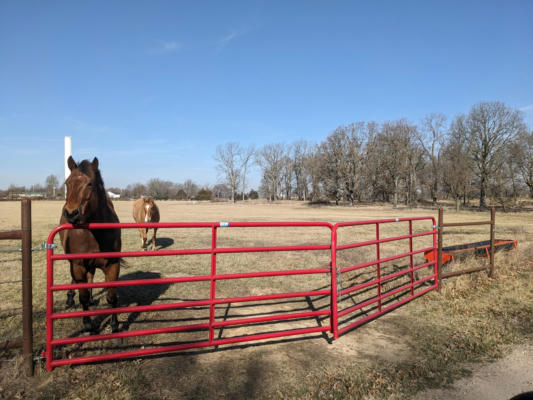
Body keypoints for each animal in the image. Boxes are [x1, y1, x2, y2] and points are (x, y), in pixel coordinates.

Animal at [59, 158, 121, 332]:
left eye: (90, 184)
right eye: (67, 183)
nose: (71, 213)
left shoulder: (113, 265)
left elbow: (112, 297)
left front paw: (115, 326)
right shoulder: (78, 265)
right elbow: (83, 296)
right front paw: (87, 323)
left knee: (91, 278)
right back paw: (70, 298)